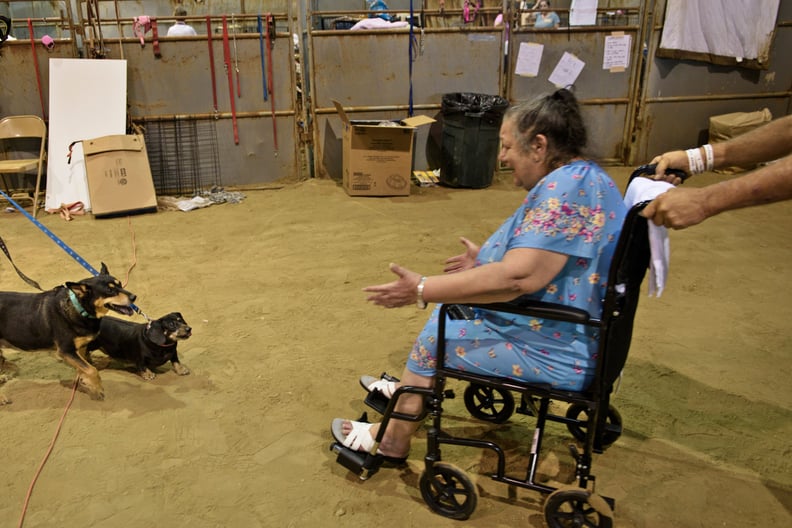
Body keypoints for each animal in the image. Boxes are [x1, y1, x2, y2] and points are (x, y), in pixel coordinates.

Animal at [0, 264, 136, 400]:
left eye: (120, 284)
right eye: (109, 291)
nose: (134, 297)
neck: (78, 308)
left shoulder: (81, 347)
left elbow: (84, 367)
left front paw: (86, 382)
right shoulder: (66, 350)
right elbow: (92, 369)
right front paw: (97, 389)